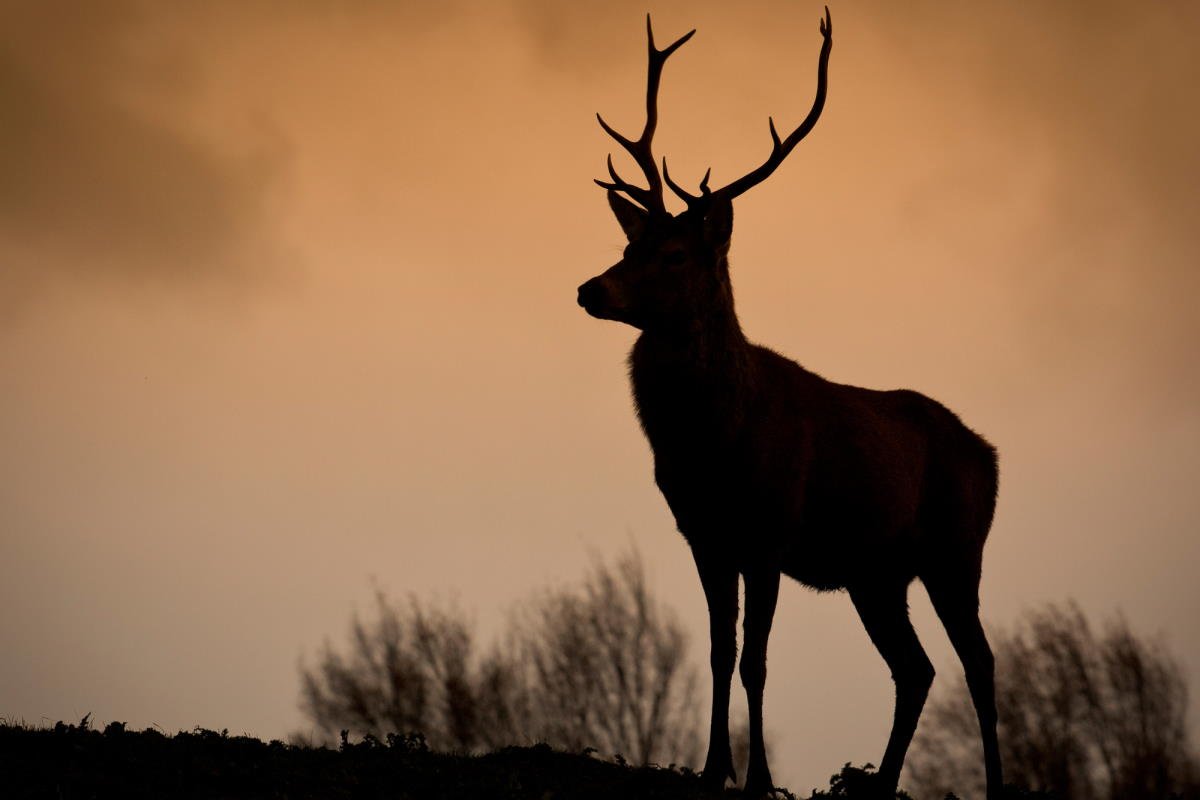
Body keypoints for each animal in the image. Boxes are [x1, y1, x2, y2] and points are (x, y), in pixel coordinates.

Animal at [576, 7, 1008, 800]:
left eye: (674, 255)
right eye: (627, 247)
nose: (591, 288)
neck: (713, 443)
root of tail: (989, 452)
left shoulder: (770, 530)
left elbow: (756, 660)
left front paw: (757, 780)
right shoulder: (704, 534)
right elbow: (718, 653)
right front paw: (713, 771)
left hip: (957, 546)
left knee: (979, 662)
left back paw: (992, 786)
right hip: (876, 573)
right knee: (917, 668)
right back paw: (877, 783)